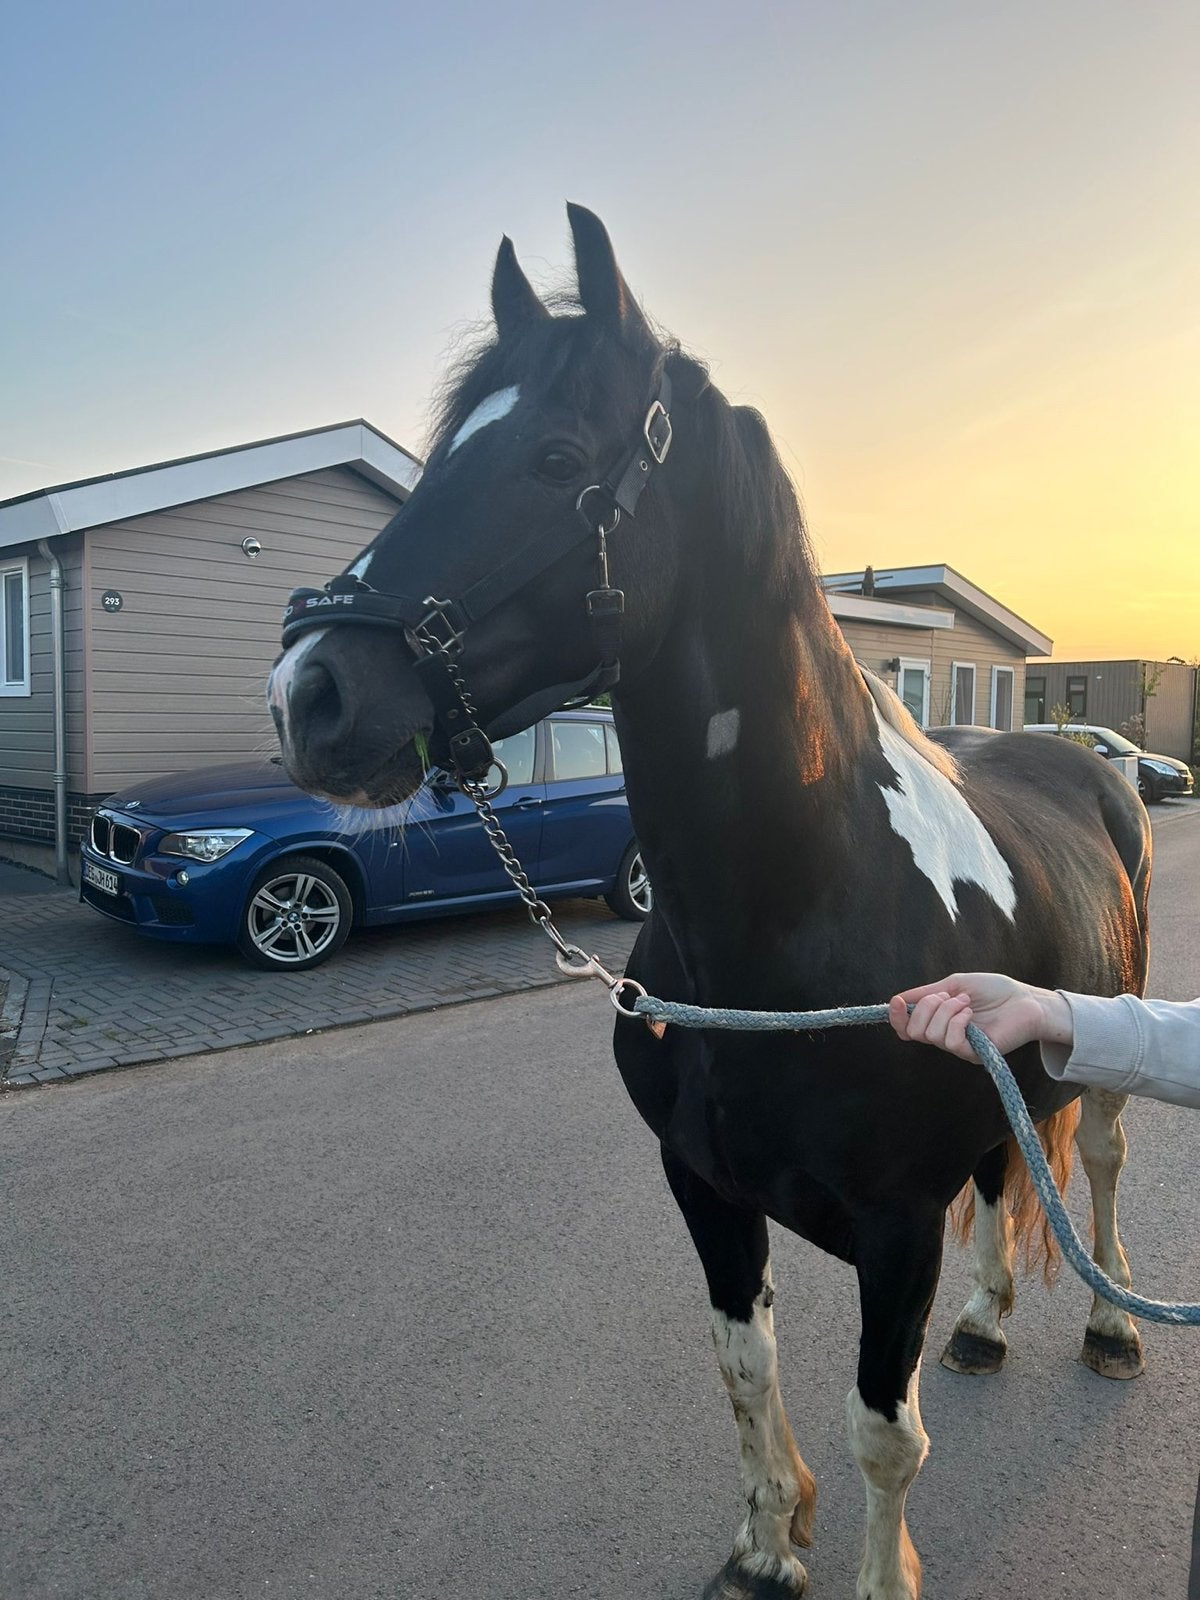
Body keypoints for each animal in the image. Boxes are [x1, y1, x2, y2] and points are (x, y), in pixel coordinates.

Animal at [269, 205, 1151, 1600]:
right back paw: (985, 1321)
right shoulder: (704, 1187)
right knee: (1012, 1177)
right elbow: (746, 1367)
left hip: (1103, 1048)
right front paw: (764, 1545)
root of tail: (1092, 761)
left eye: (557, 456)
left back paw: (1115, 1322)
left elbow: (882, 1433)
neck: (795, 918)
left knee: (1104, 1169)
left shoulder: (896, 1230)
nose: (309, 691)